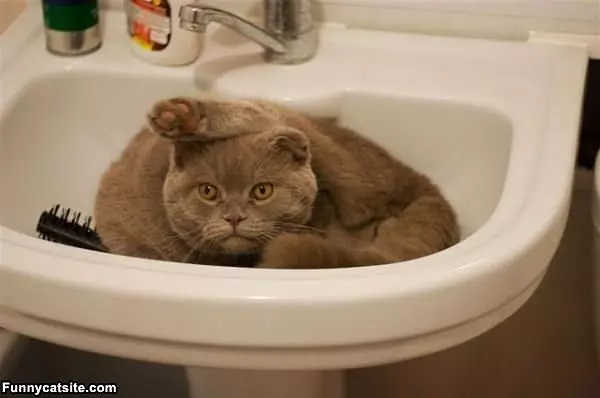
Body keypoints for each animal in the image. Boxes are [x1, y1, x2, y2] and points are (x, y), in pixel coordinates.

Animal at [94, 96, 460, 268]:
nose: (234, 217)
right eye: (208, 192)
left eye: (262, 191)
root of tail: (420, 182)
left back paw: (184, 117)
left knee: (259, 113)